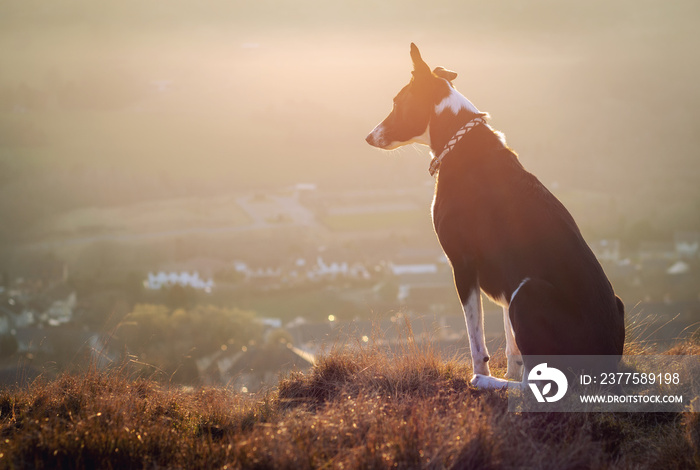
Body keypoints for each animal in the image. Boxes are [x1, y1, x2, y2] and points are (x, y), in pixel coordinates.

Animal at [366, 44, 624, 390]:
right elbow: (511, 343)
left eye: (397, 102)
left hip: (528, 293)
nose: (369, 137)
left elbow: (476, 338)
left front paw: (482, 373)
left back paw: (485, 382)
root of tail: (607, 369)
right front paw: (509, 369)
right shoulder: (505, 281)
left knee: (534, 387)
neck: (459, 141)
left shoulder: (463, 265)